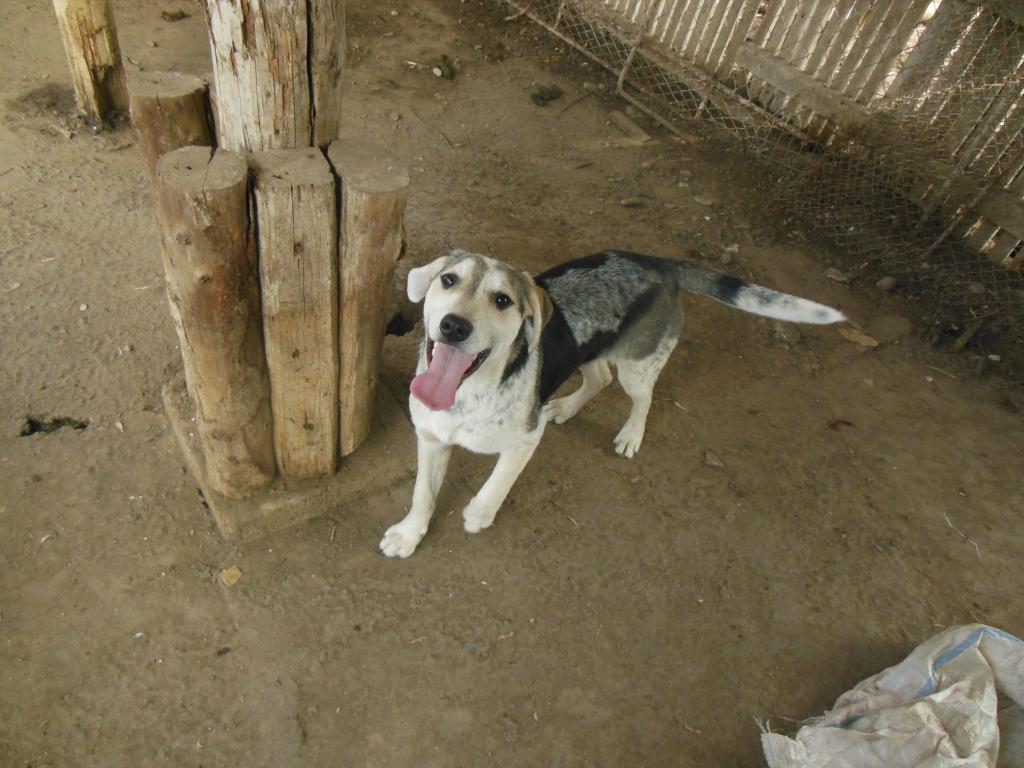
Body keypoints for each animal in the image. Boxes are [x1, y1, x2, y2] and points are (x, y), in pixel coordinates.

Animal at [380, 252, 843, 561]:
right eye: (448, 280)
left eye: (502, 301)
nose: (454, 326)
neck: (465, 396)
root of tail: (659, 264)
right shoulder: (431, 439)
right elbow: (422, 494)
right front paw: (409, 535)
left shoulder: (525, 441)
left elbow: (497, 482)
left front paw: (479, 514)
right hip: (593, 351)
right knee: (599, 378)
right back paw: (565, 408)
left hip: (639, 367)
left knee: (644, 397)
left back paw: (630, 435)